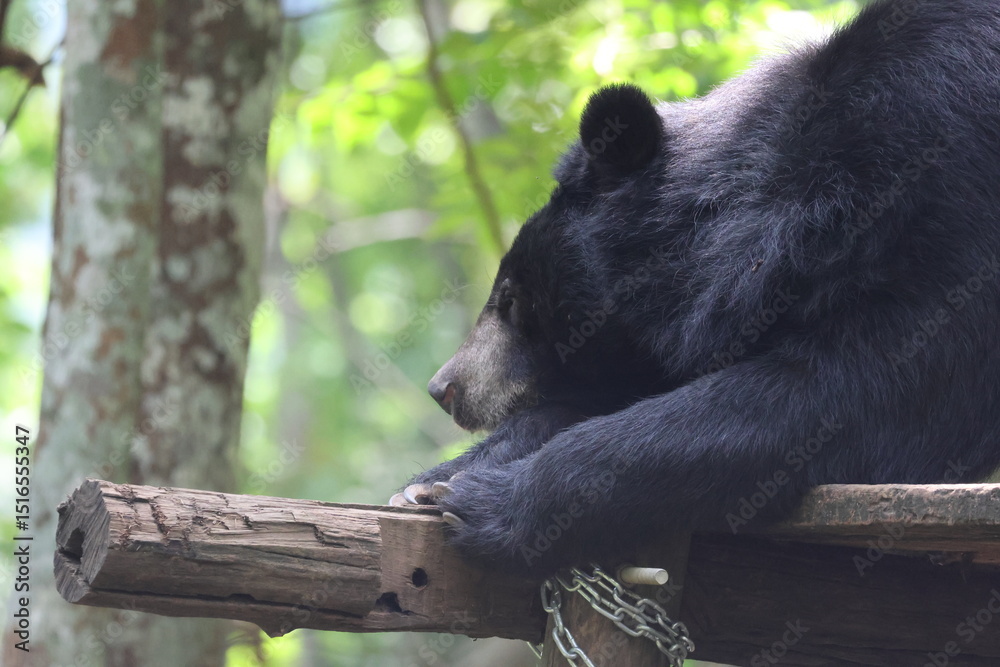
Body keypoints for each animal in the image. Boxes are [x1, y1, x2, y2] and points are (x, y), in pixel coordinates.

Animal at [391, 0, 1000, 576]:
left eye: (514, 300)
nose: (445, 388)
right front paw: (428, 484)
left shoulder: (945, 213)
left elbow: (861, 390)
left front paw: (485, 504)